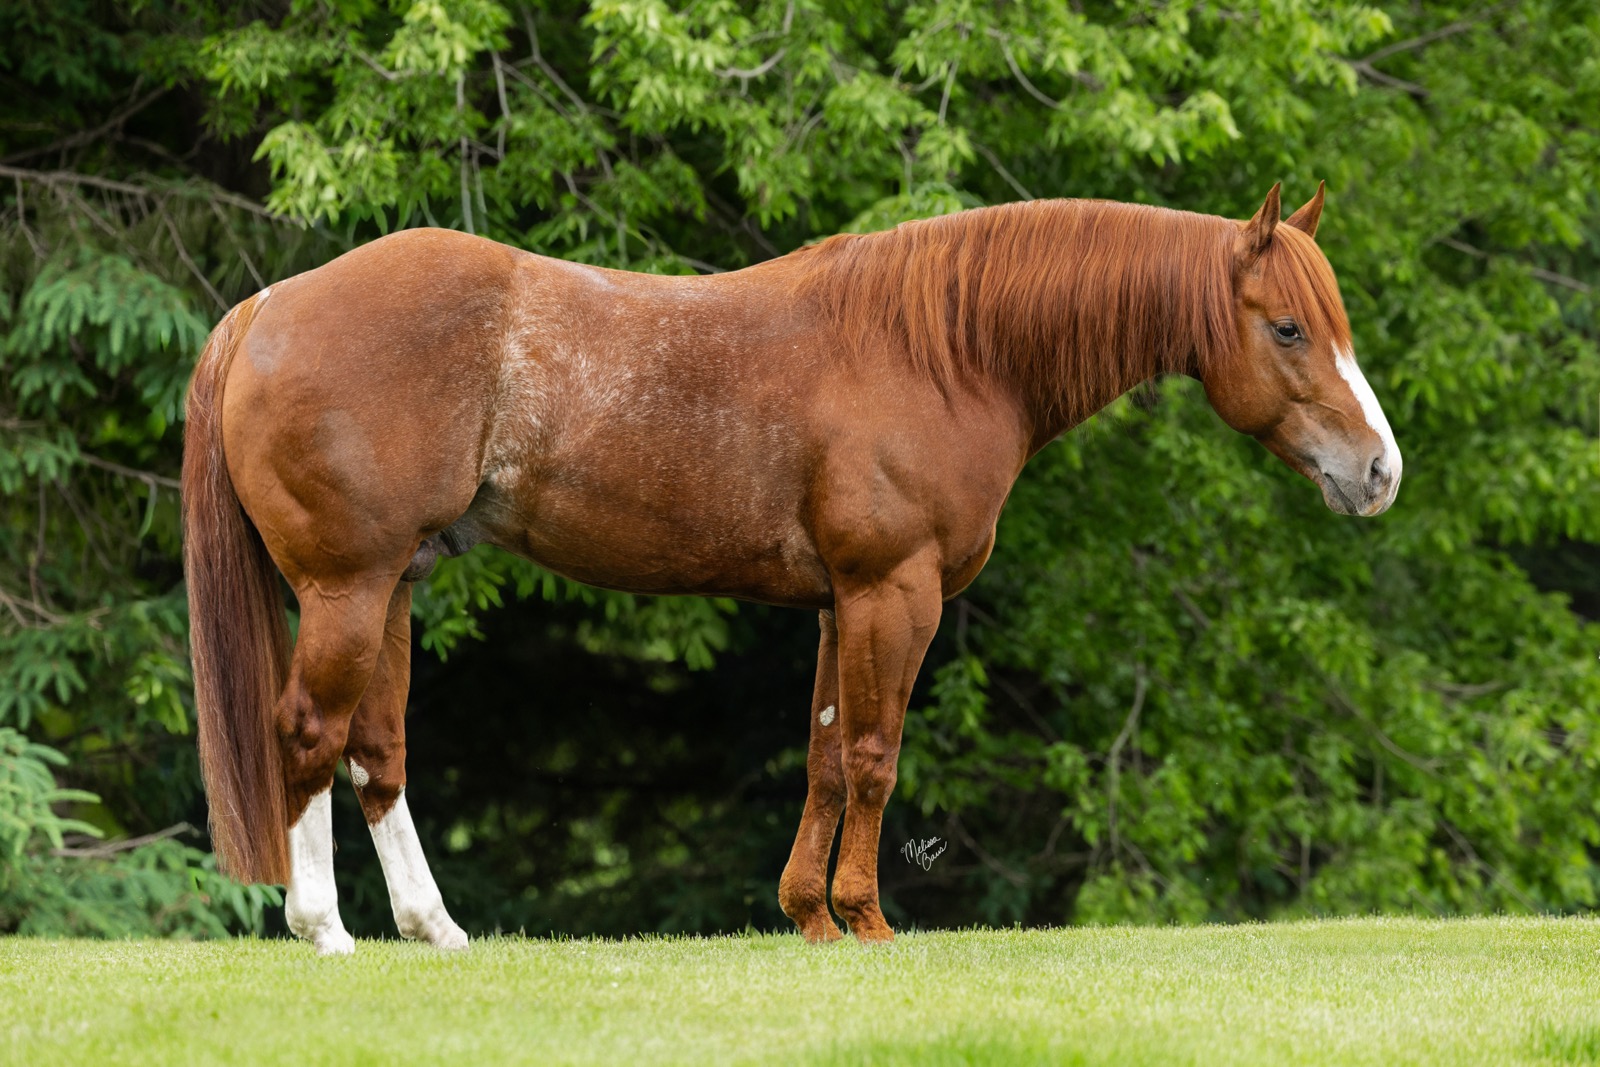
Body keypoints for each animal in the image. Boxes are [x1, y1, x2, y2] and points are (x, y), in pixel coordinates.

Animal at [182, 182, 1401, 954]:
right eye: (1288, 329)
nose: (1380, 471)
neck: (945, 350)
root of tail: (270, 305)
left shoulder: (832, 605)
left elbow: (821, 757)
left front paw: (808, 915)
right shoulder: (892, 593)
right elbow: (872, 756)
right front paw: (866, 918)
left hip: (393, 587)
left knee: (376, 753)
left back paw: (435, 929)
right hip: (346, 590)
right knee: (308, 735)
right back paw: (325, 930)